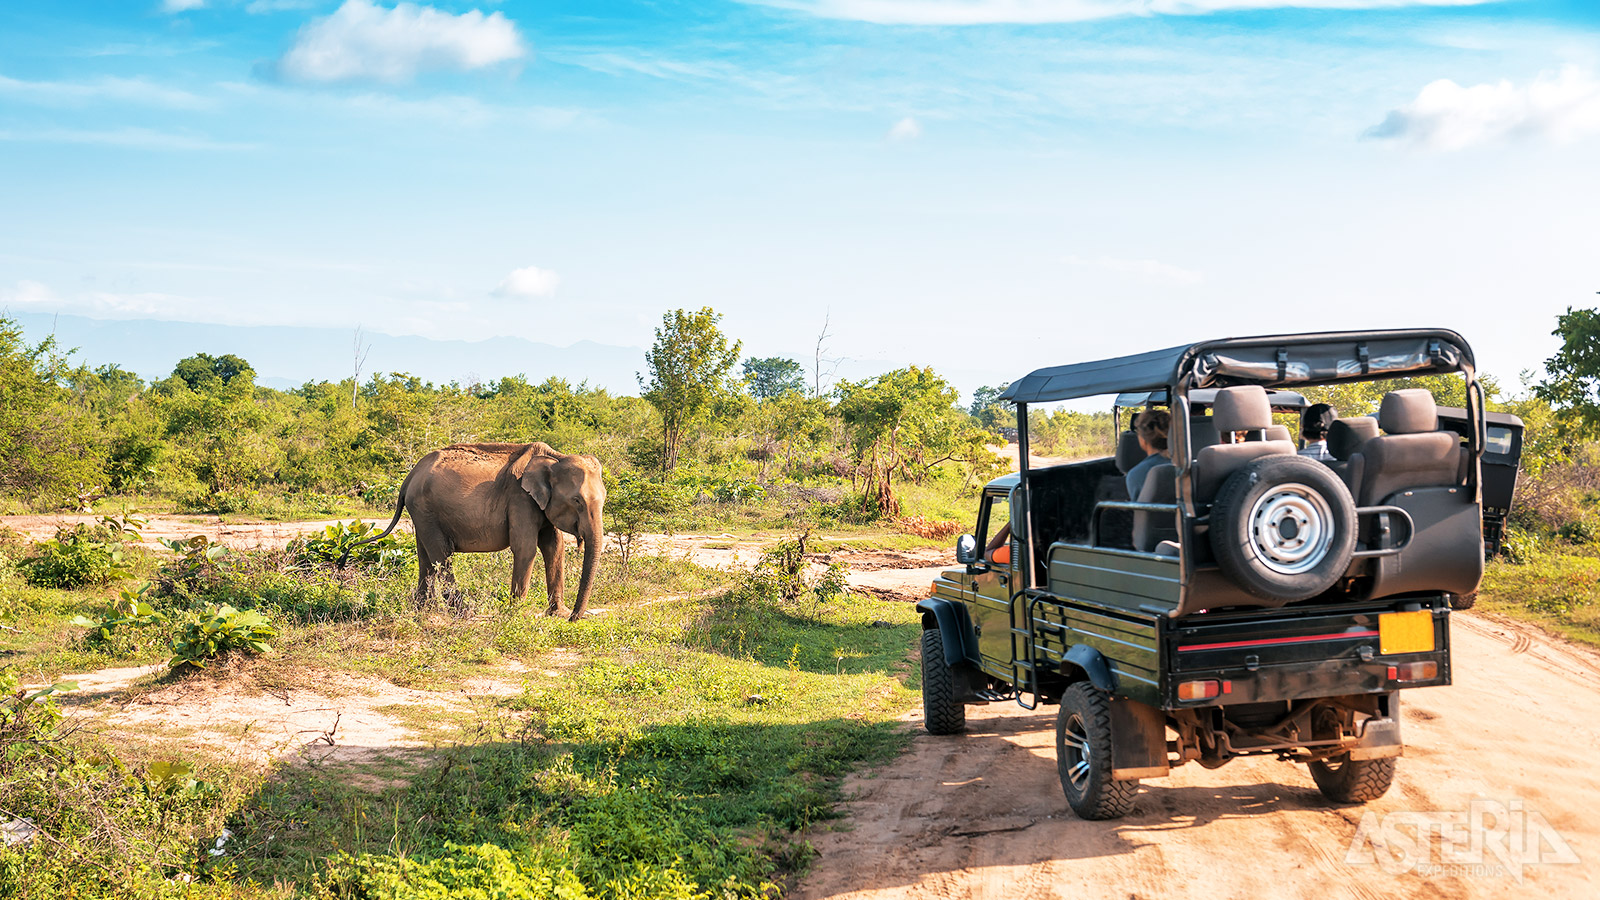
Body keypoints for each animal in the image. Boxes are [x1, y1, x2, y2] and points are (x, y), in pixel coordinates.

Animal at [350, 438, 604, 614]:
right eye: (577, 501)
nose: (574, 617)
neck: (554, 457)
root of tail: (409, 477)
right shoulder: (520, 498)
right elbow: (526, 548)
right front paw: (517, 613)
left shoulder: (539, 504)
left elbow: (554, 547)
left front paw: (557, 614)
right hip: (425, 509)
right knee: (441, 554)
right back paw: (462, 612)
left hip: (421, 512)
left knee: (425, 557)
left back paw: (424, 610)